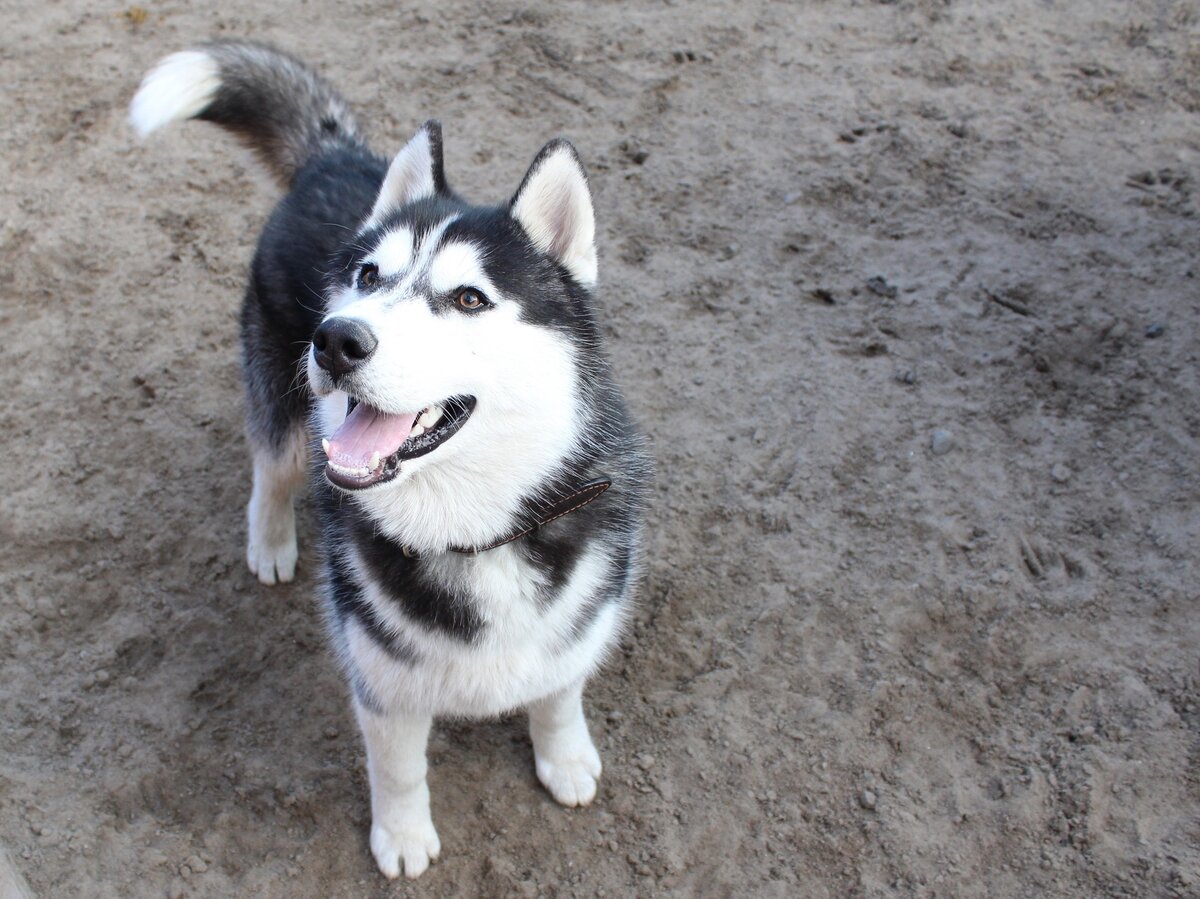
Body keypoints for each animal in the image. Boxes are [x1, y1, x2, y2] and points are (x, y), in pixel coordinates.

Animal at [130, 40, 648, 878]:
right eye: (369, 277)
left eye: (469, 298)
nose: (336, 338)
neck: (475, 534)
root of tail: (339, 159)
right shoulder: (383, 681)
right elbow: (400, 768)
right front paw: (402, 836)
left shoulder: (576, 627)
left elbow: (559, 694)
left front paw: (565, 755)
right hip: (285, 414)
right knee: (270, 471)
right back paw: (270, 542)